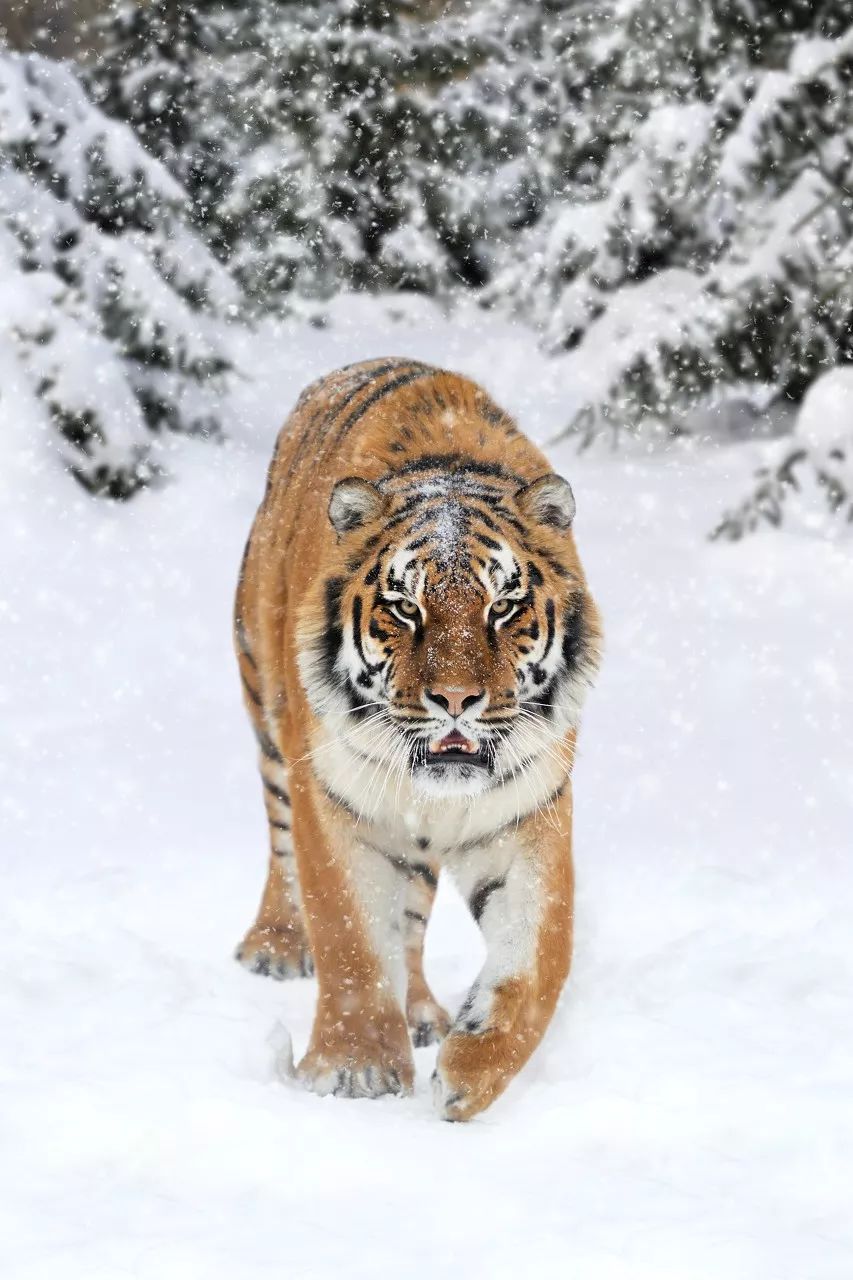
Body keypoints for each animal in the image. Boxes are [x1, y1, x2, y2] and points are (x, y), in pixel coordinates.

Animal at [233, 358, 601, 1121]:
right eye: (405, 607)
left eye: (503, 607)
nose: (455, 699)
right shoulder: (334, 801)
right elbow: (348, 936)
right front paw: (353, 1072)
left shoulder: (528, 814)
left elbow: (538, 959)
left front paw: (469, 1073)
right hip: (269, 715)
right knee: (281, 848)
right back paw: (275, 947)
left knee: (409, 921)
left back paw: (426, 1015)